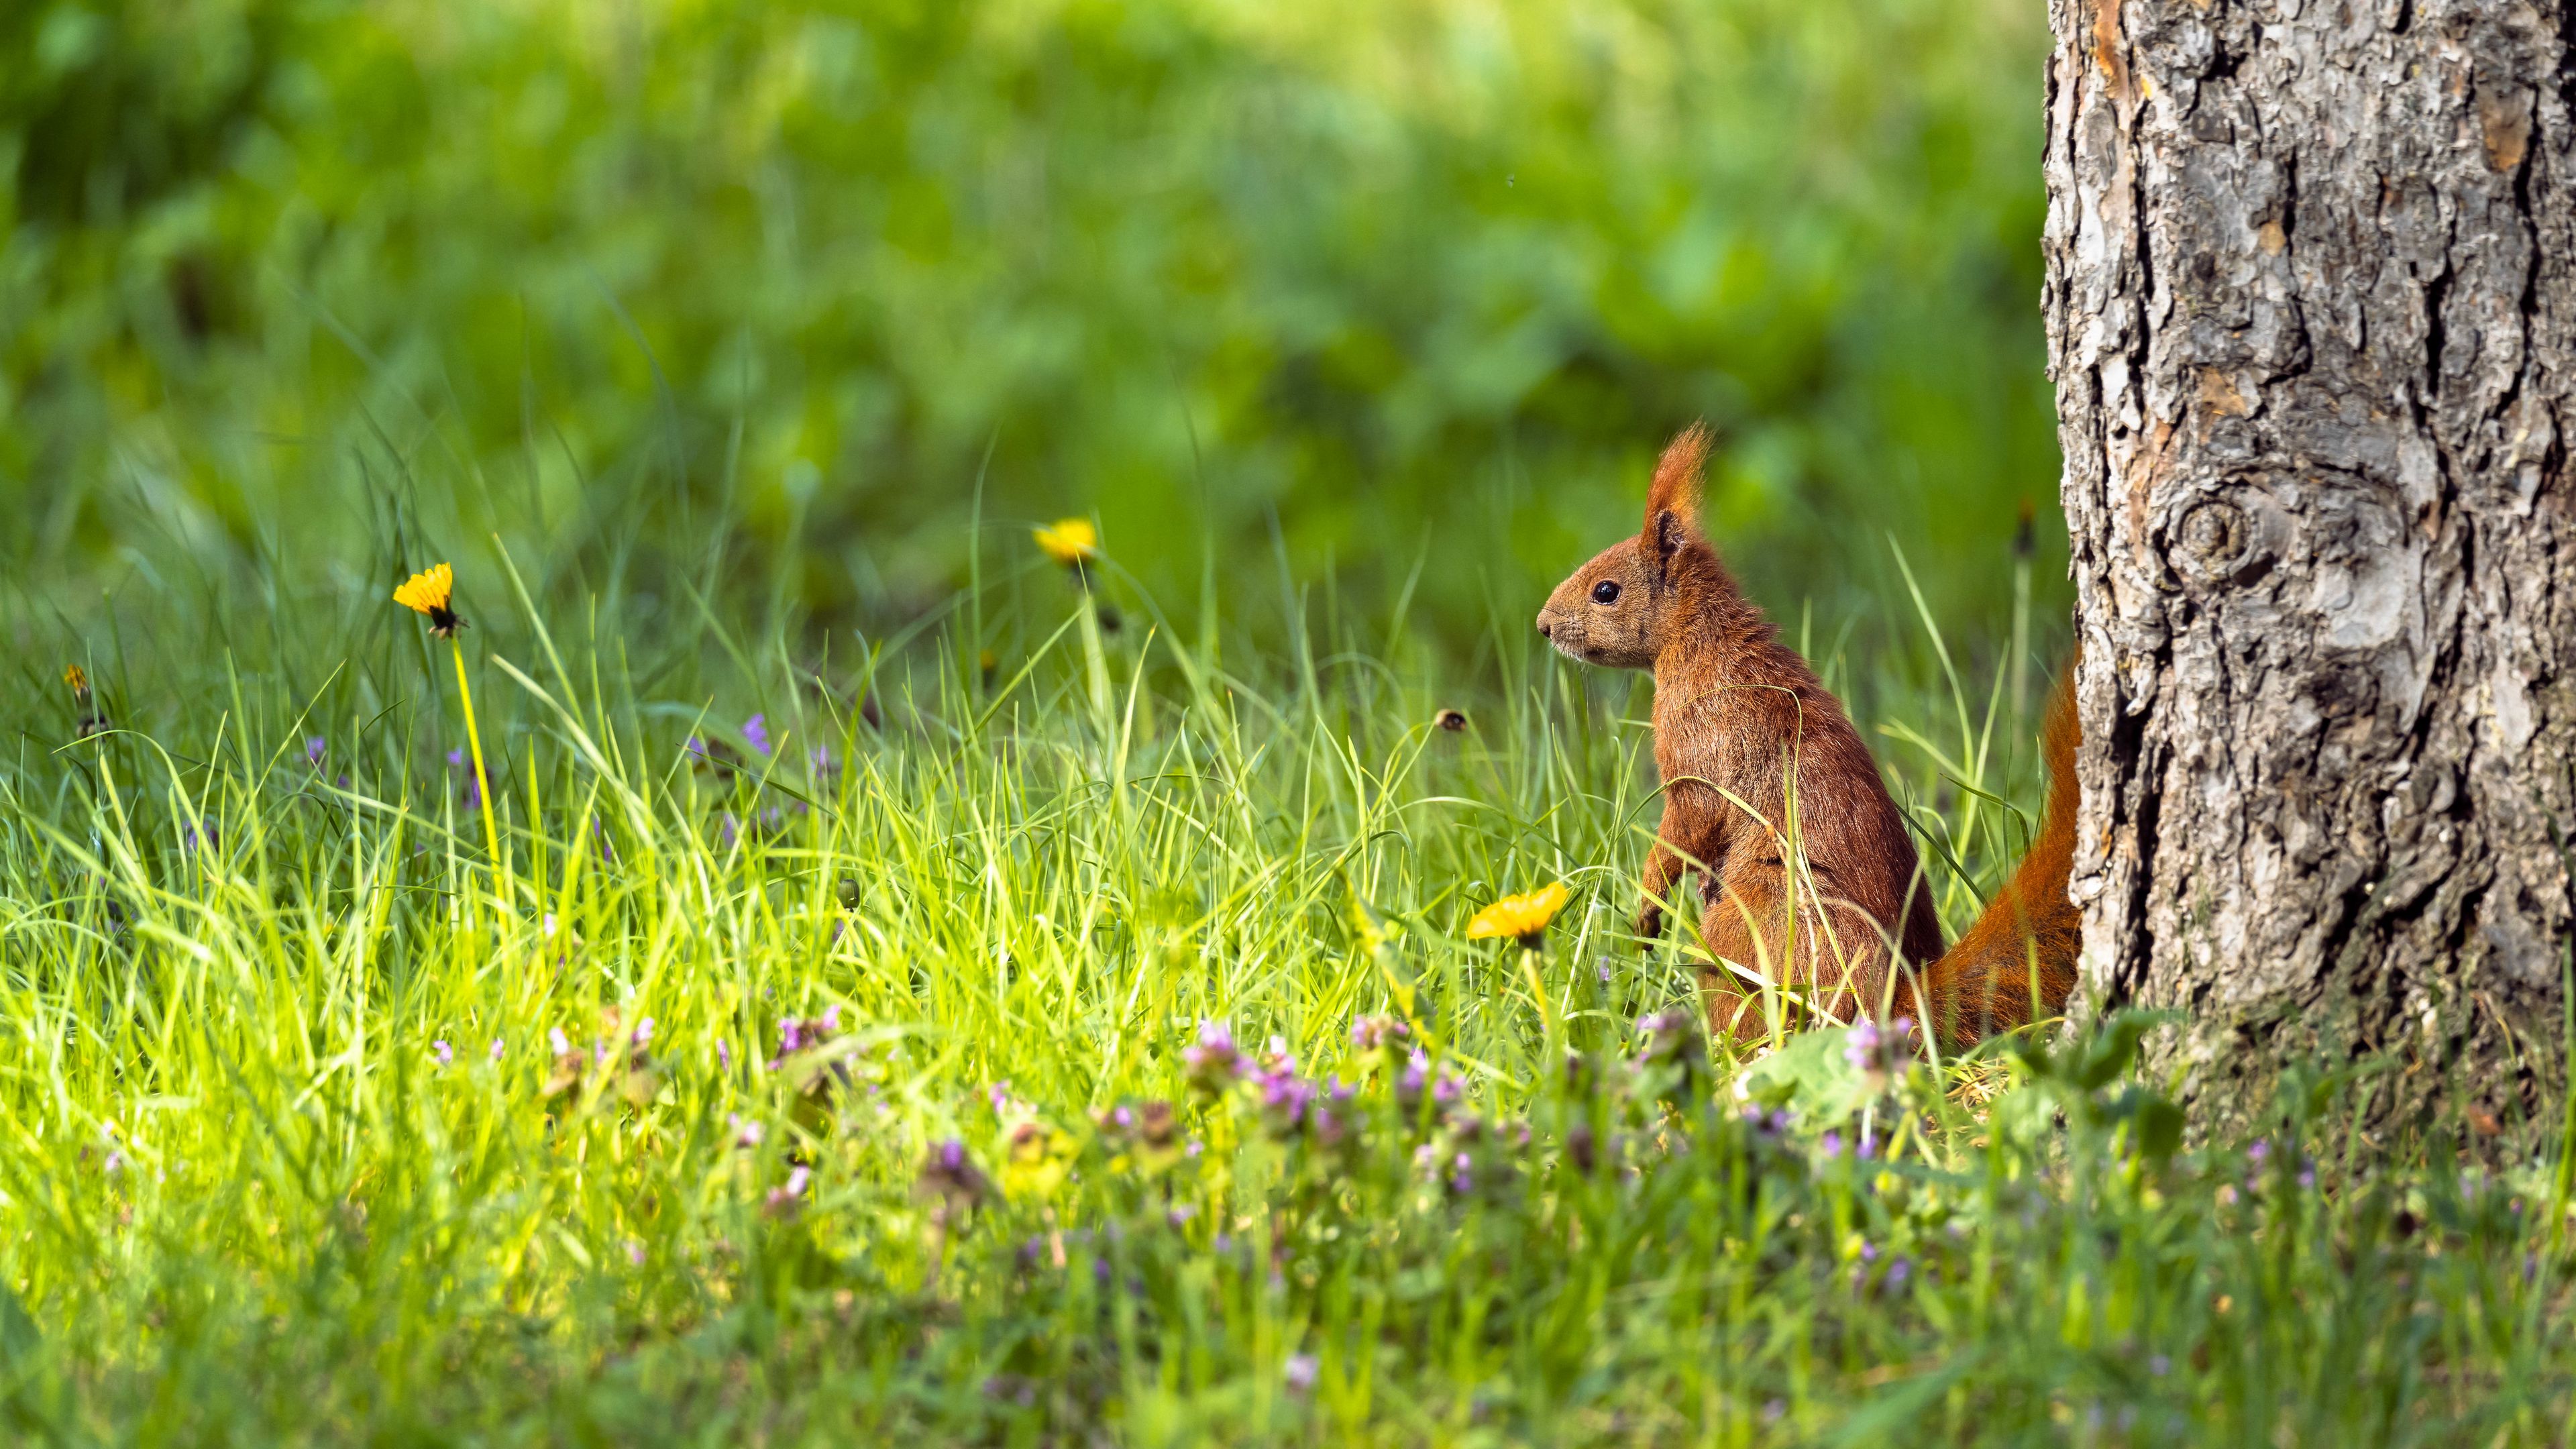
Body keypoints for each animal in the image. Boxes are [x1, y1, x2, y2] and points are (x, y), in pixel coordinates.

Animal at [1535, 423, 2081, 1041]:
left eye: (1606, 591)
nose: (1544, 625)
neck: (1704, 644)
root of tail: (1892, 1009)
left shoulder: (1702, 747)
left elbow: (1685, 827)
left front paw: (1647, 903)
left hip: (1756, 929)